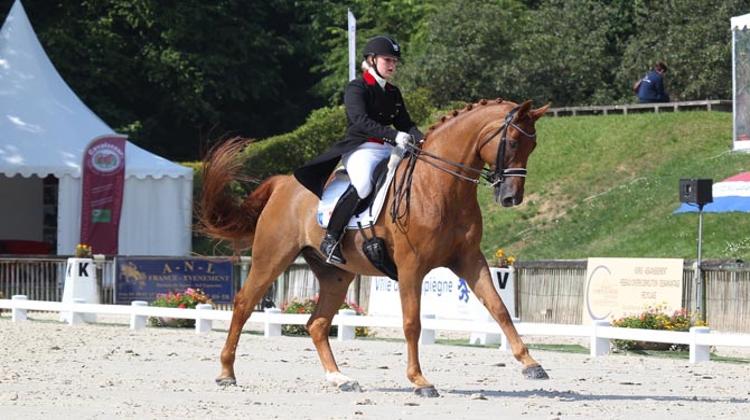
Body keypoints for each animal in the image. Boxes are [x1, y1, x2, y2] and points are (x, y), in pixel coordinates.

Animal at [200, 98, 552, 398]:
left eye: (534, 146)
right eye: (512, 142)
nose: (511, 197)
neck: (440, 186)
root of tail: (283, 183)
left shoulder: (469, 260)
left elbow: (499, 309)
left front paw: (531, 364)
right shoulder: (411, 267)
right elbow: (412, 323)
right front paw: (419, 381)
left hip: (336, 274)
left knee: (317, 324)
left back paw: (340, 379)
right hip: (271, 257)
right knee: (244, 304)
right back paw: (226, 373)